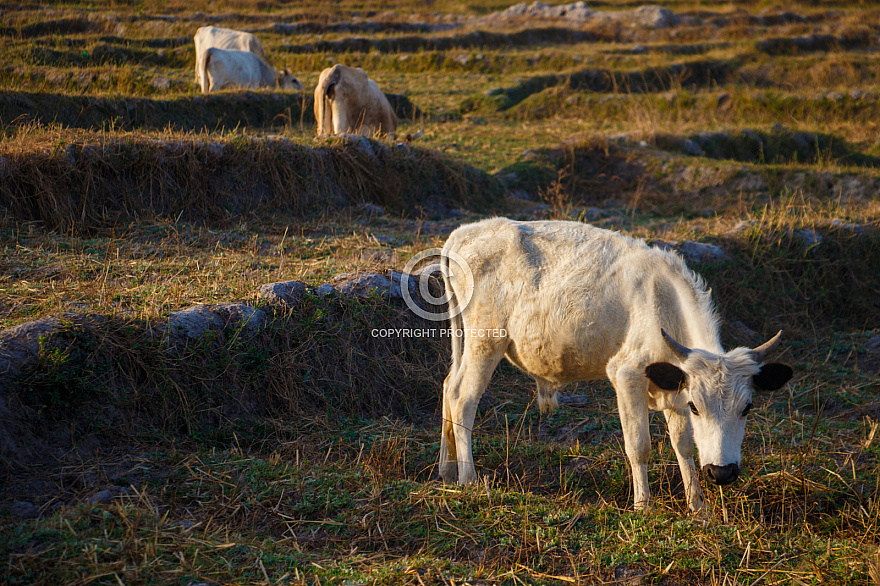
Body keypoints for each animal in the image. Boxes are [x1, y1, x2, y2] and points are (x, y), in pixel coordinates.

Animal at [436, 217, 796, 508]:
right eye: (697, 407)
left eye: (748, 407)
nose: (721, 473)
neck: (664, 304)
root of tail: (466, 232)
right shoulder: (627, 374)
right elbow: (639, 445)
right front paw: (643, 507)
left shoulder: (674, 385)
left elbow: (683, 446)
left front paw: (698, 508)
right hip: (485, 340)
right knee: (463, 397)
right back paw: (469, 479)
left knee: (448, 385)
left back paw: (446, 470)